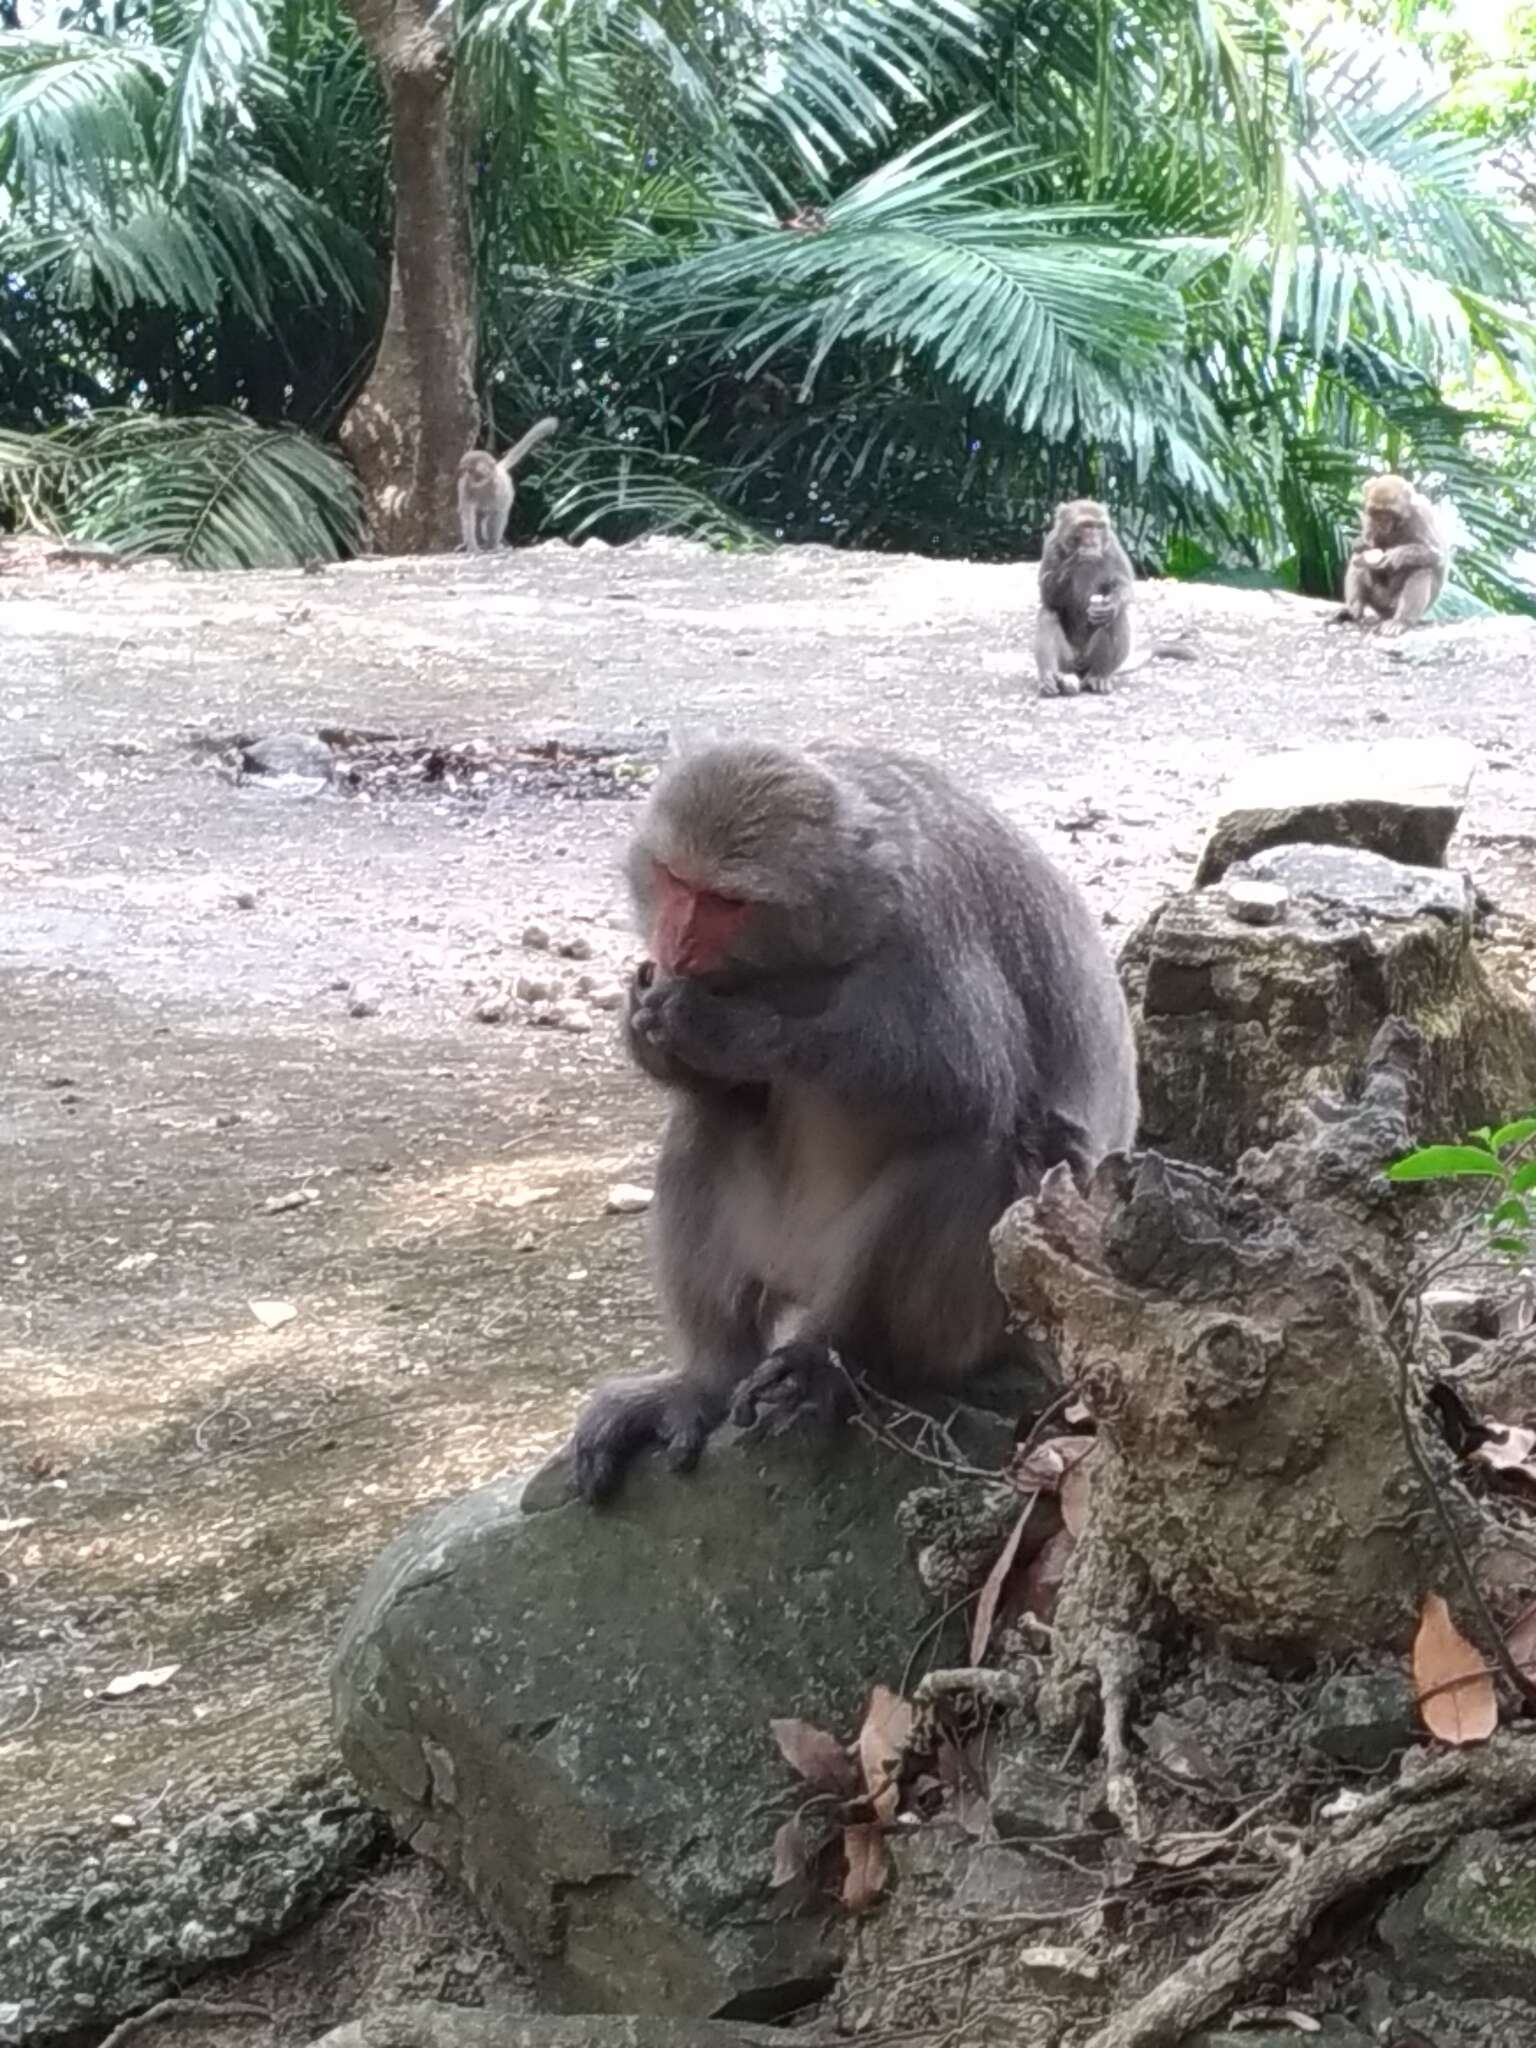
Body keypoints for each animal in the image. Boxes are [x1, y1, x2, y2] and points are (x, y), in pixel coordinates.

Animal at [456, 413, 565, 552]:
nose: (464, 475)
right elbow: (468, 516)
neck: (483, 485)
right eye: (465, 470)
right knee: (480, 517)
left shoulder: (499, 489)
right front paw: (473, 547)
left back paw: (492, 543)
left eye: (471, 470)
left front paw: (492, 545)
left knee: (496, 516)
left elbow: (497, 514)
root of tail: (499, 468)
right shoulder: (465, 488)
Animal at [569, 737, 1146, 1507]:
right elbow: (724, 1093)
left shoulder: (929, 931)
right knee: (705, 1121)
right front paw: (646, 1023)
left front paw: (724, 1028)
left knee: (976, 1151)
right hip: (781, 1248)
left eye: (726, 902)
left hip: (982, 1317)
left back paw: (833, 1355)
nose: (675, 944)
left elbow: (960, 1080)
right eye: (673, 881)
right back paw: (710, 1377)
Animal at [1036, 495, 1146, 696]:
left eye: (1099, 527)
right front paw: (1075, 560)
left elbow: (1124, 584)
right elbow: (1047, 597)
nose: (1093, 539)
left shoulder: (1113, 547)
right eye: (1086, 526)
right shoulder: (1051, 546)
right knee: (1048, 614)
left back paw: (1099, 676)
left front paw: (1112, 603)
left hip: (1090, 660)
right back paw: (1051, 678)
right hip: (1067, 661)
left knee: (1116, 618)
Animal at [1343, 475, 1449, 634]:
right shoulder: (1369, 519)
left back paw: (1401, 621)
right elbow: (1367, 546)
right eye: (1377, 512)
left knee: (1422, 570)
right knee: (1357, 560)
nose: (1382, 522)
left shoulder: (1422, 513)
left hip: (1393, 604)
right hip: (1378, 600)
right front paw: (1361, 543)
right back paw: (1354, 610)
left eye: (1388, 513)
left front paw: (1395, 556)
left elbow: (1438, 555)